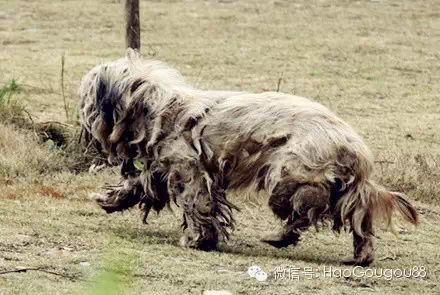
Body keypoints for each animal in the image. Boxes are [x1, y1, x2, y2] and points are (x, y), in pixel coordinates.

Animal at [79, 49, 420, 268]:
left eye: (86, 97)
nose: (83, 124)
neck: (158, 109)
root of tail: (354, 146)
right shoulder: (163, 170)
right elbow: (137, 186)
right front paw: (109, 200)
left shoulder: (190, 172)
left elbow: (198, 206)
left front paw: (199, 239)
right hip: (331, 188)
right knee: (357, 219)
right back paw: (360, 256)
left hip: (289, 181)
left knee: (308, 212)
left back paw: (281, 237)